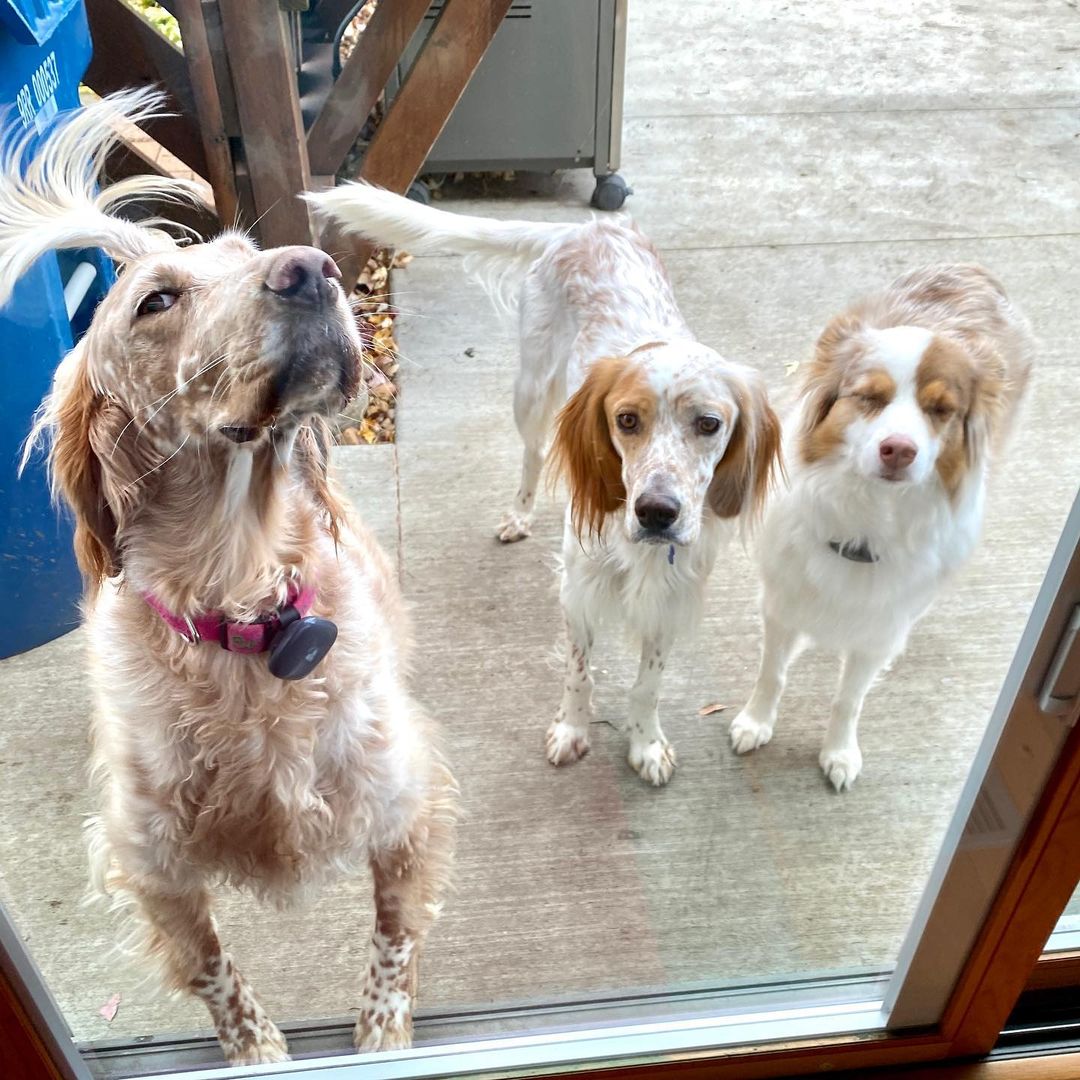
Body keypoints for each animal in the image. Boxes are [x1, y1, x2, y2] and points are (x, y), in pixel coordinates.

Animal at [308, 183, 781, 786]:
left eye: (709, 424)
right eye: (627, 420)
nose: (657, 512)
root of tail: (584, 228)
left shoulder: (671, 599)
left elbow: (648, 683)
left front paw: (646, 743)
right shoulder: (578, 590)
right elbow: (579, 673)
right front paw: (573, 730)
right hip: (531, 390)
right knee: (532, 456)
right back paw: (519, 515)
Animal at [730, 267, 1032, 794]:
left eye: (941, 410)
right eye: (870, 397)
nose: (899, 450)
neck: (866, 520)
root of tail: (976, 272)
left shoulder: (878, 631)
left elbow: (849, 699)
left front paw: (838, 752)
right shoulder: (783, 601)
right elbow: (772, 673)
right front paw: (756, 722)